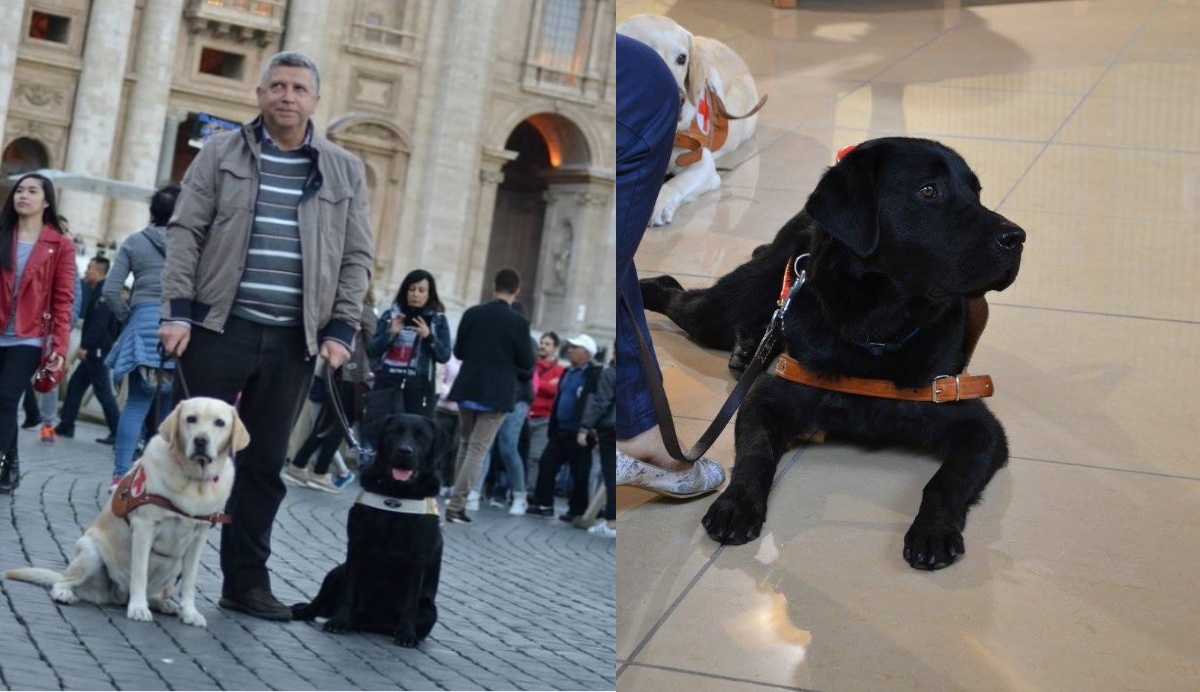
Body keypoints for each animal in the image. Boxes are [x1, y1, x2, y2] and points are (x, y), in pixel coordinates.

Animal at [3, 393, 248, 623]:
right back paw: (66, 593)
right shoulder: (144, 527)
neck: (193, 481)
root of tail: (118, 596)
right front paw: (138, 608)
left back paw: (164, 603)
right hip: (91, 553)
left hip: (174, 567)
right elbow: (140, 573)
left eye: (219, 422)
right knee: (65, 581)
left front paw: (190, 613)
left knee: (157, 592)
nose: (200, 440)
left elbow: (189, 582)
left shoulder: (199, 537)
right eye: (191, 419)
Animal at [292, 412, 451, 642]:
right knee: (319, 603)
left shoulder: (418, 557)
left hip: (430, 611)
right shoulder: (357, 546)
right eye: (394, 432)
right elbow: (349, 591)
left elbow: (410, 601)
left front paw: (406, 634)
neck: (395, 494)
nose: (404, 451)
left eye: (422, 436)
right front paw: (339, 621)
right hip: (337, 571)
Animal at [643, 137, 1027, 568]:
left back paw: (748, 349)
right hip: (723, 309)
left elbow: (945, 480)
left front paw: (933, 529)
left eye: (976, 192)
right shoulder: (764, 399)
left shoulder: (977, 424)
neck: (874, 332)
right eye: (928, 190)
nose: (1018, 237)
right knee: (672, 288)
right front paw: (736, 503)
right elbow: (756, 453)